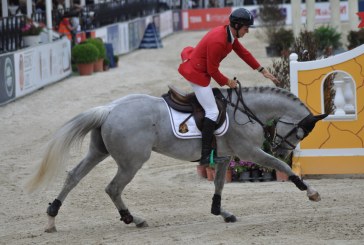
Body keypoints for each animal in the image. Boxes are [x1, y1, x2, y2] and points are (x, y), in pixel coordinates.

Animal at [26, 85, 328, 232]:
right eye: (301, 132)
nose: (281, 148)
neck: (245, 110)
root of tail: (109, 109)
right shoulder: (249, 152)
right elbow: (280, 167)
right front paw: (310, 191)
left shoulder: (224, 157)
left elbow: (219, 184)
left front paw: (221, 212)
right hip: (132, 162)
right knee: (113, 188)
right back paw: (134, 219)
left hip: (99, 152)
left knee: (74, 177)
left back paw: (52, 219)